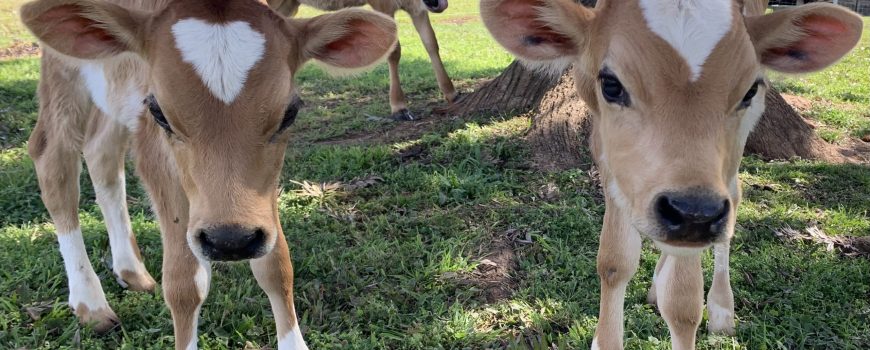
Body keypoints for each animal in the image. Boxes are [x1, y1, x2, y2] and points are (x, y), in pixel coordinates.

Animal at [23, 0, 398, 348]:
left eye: (289, 113)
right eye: (159, 113)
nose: (230, 240)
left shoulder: (262, 194)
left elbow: (276, 265)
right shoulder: (153, 146)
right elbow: (184, 283)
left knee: (101, 153)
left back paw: (132, 271)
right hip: (63, 74)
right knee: (53, 162)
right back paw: (91, 302)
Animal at [270, 0, 460, 120]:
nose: (436, 3)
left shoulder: (417, 7)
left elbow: (431, 42)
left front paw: (451, 92)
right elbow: (393, 49)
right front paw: (399, 106)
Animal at [484, 0, 864, 348]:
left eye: (749, 90)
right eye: (611, 85)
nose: (693, 212)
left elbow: (682, 302)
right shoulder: (609, 153)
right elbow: (614, 260)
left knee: (733, 200)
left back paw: (721, 307)